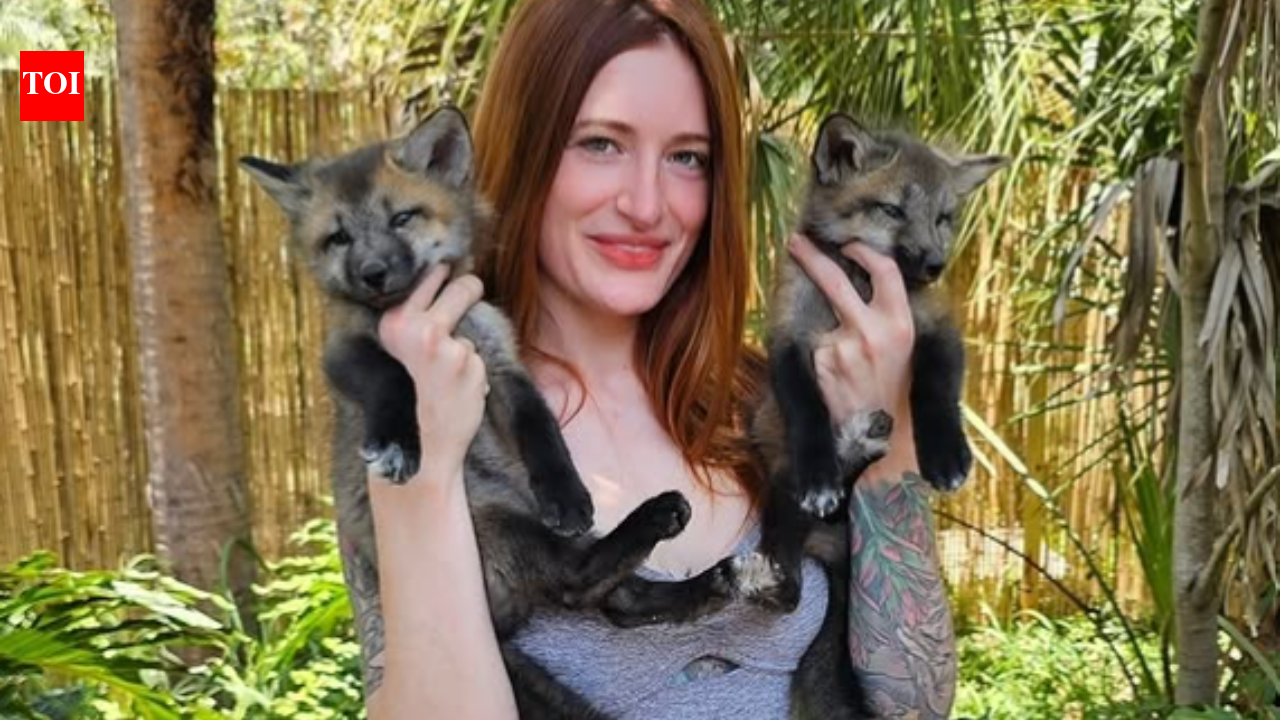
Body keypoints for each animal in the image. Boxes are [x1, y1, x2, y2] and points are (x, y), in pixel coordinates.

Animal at [240, 107, 695, 719]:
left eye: (402, 217)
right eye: (338, 238)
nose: (373, 272)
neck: (434, 318)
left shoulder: (501, 362)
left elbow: (542, 431)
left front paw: (567, 493)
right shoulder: (344, 351)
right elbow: (391, 379)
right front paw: (399, 443)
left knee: (616, 595)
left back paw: (710, 582)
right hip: (499, 526)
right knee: (583, 583)